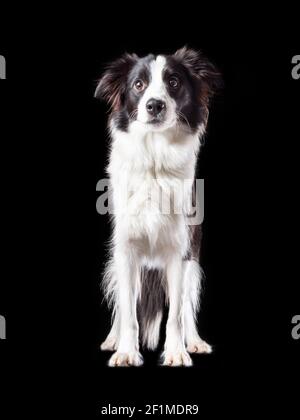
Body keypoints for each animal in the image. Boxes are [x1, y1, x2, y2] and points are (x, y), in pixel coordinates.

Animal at [95, 47, 221, 366]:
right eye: (138, 85)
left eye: (173, 82)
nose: (154, 105)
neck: (154, 155)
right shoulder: (126, 251)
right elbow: (128, 312)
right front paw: (126, 352)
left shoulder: (179, 252)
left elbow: (175, 314)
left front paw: (176, 352)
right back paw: (113, 339)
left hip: (192, 264)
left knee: (186, 306)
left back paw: (195, 341)